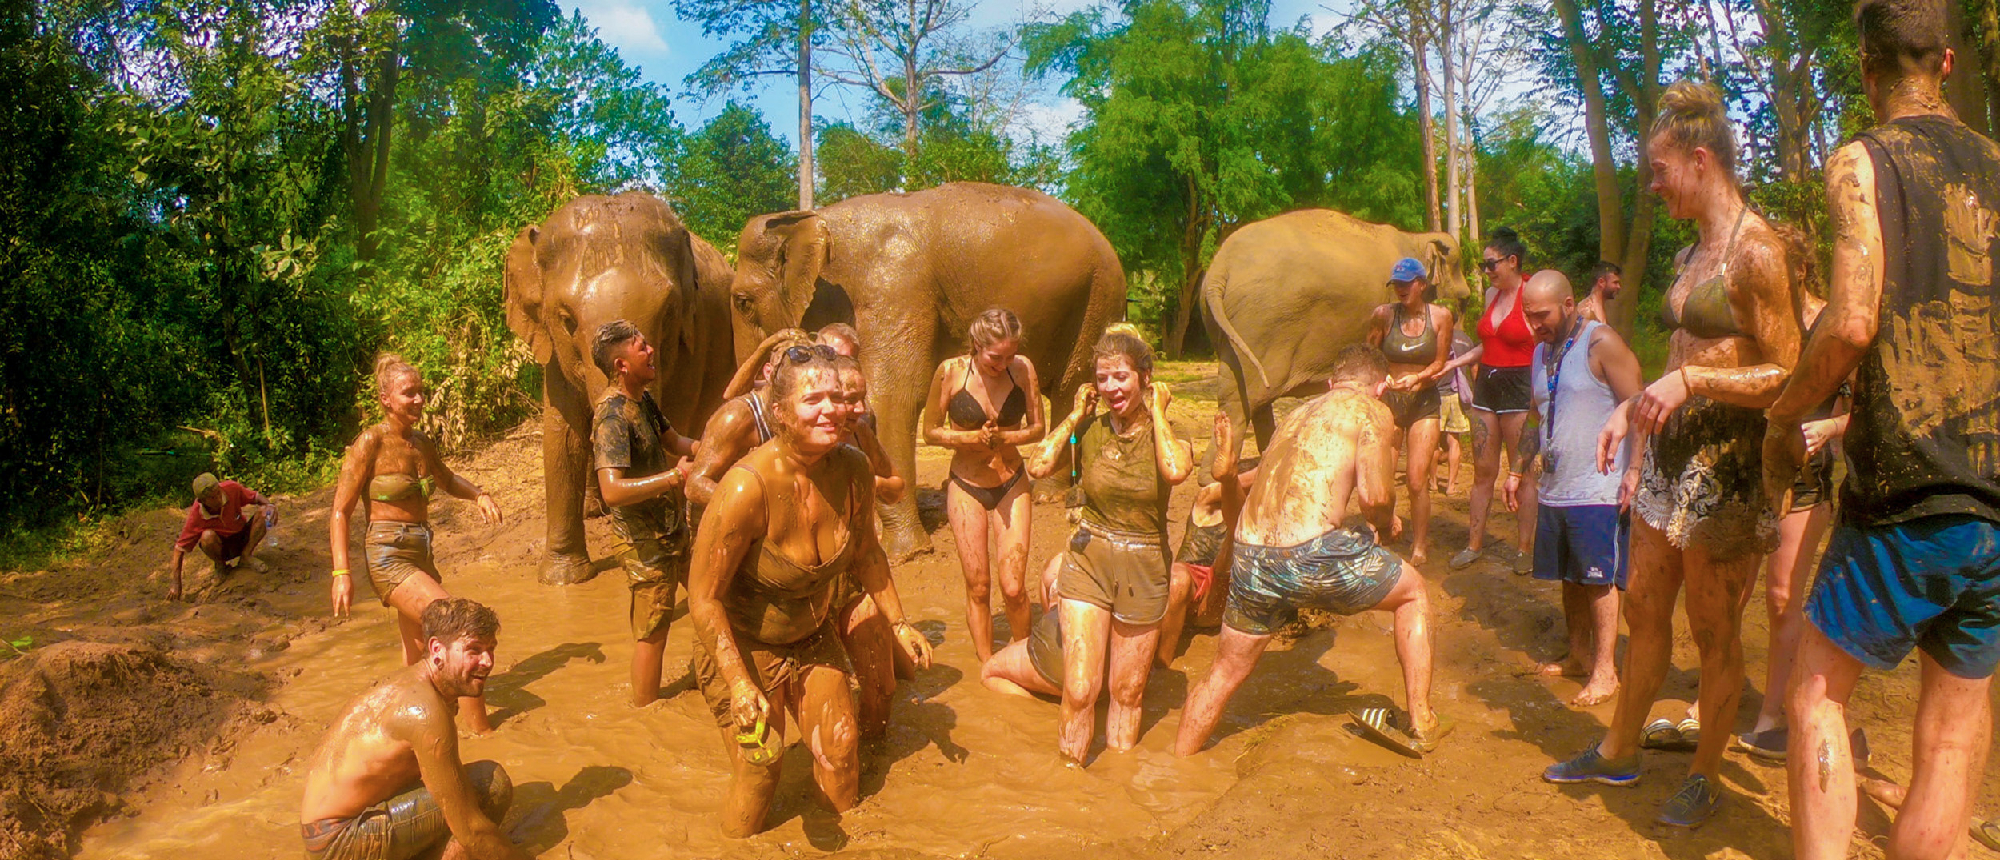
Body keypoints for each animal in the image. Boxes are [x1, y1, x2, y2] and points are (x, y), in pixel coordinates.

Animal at [505, 192, 737, 585]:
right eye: (566, 320)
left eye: (669, 313)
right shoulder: (553, 349)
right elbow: (562, 435)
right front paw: (563, 580)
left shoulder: (693, 336)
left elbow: (675, 428)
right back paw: (593, 510)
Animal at [729, 182, 1125, 560]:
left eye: (742, 302)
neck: (819, 220)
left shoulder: (896, 288)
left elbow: (892, 398)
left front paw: (903, 553)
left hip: (1098, 298)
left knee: (1069, 387)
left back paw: (1046, 495)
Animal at [1202, 208, 1470, 454]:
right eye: (1463, 300)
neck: (1416, 238)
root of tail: (1220, 269)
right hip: (1260, 325)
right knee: (1240, 402)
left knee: (1253, 400)